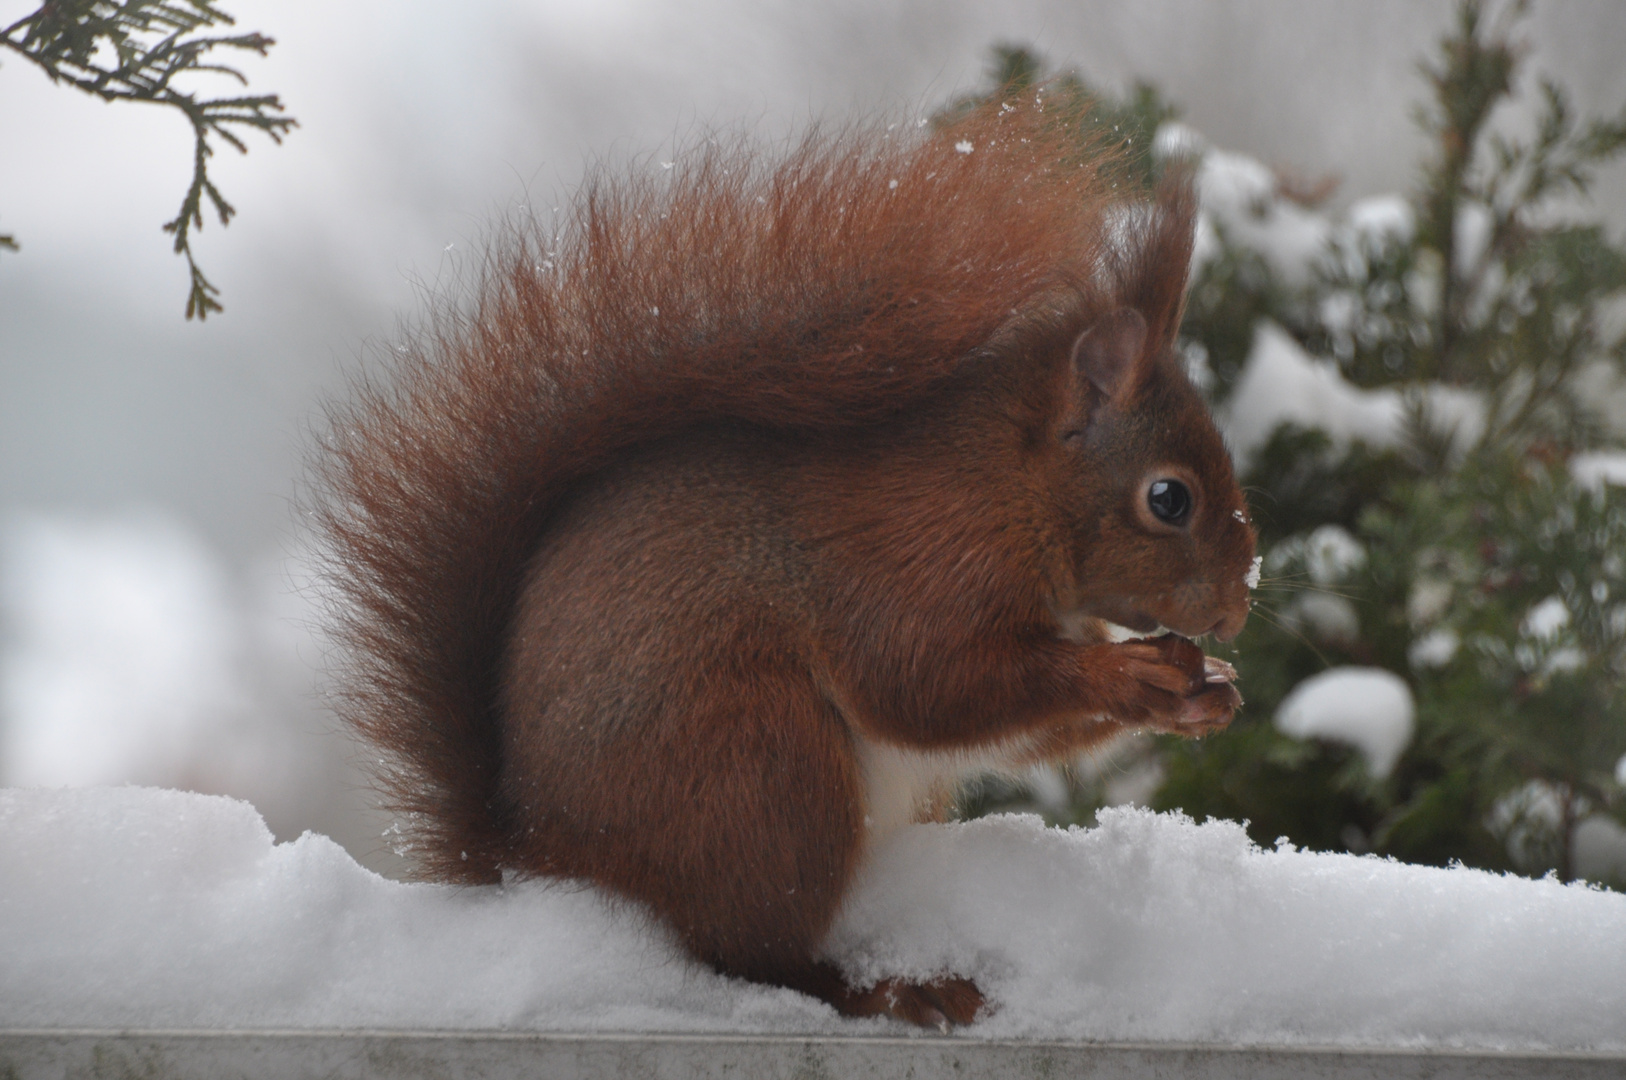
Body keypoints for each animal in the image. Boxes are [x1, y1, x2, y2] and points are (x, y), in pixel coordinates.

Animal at [317, 99, 1255, 1027]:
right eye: (1169, 499)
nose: (1239, 607)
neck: (1011, 491)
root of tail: (541, 861)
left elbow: (1023, 733)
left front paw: (1204, 690)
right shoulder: (915, 567)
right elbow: (929, 687)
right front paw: (1128, 675)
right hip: (764, 770)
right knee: (750, 958)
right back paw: (891, 988)